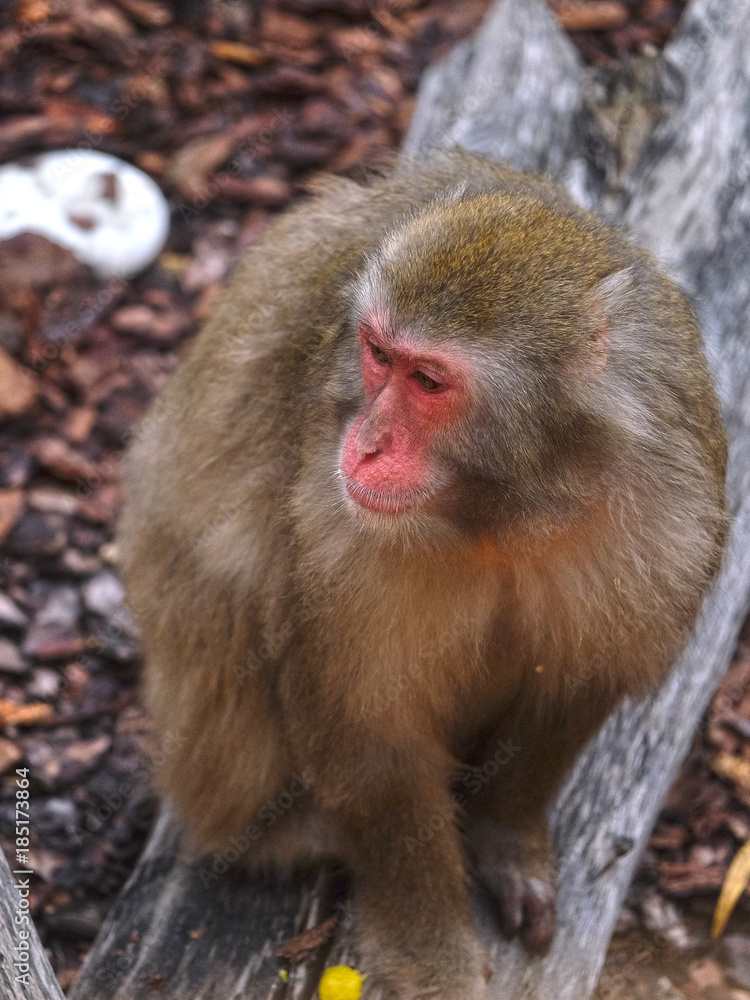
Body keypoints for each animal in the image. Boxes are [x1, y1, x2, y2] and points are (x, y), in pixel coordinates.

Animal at [118, 151, 728, 1000]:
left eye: (428, 381)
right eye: (377, 355)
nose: (366, 444)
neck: (507, 506)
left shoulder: (669, 509)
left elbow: (576, 683)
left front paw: (508, 841)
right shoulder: (336, 527)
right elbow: (370, 737)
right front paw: (431, 949)